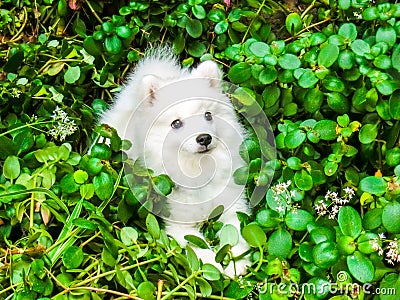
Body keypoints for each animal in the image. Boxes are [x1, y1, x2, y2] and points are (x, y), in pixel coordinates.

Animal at [100, 47, 250, 276]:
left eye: (208, 115)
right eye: (176, 123)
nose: (204, 138)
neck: (199, 169)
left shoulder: (232, 206)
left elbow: (235, 233)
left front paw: (237, 263)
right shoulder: (180, 226)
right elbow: (200, 250)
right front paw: (215, 268)